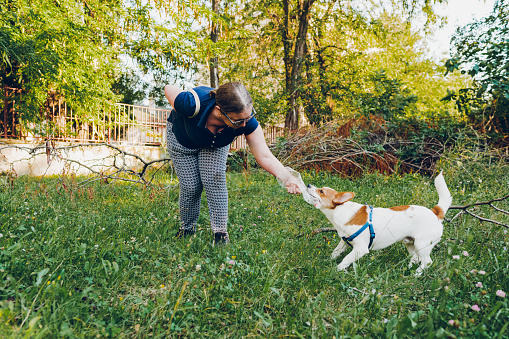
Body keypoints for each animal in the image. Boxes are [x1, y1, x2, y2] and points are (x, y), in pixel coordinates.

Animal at [306, 174, 452, 274]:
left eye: (321, 191)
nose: (308, 185)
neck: (342, 211)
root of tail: (435, 212)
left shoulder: (360, 249)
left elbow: (346, 259)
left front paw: (337, 269)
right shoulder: (343, 243)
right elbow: (335, 253)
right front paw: (328, 262)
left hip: (422, 245)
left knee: (427, 262)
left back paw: (416, 274)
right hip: (411, 244)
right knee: (416, 258)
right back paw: (408, 269)